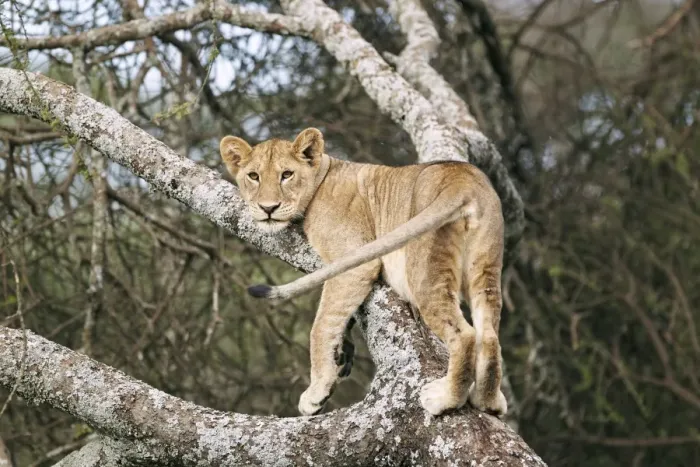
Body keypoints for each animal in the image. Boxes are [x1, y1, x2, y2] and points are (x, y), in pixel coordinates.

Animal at [220, 128, 507, 417]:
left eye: (286, 174)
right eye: (253, 176)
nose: (268, 208)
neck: (322, 177)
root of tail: (462, 181)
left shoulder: (354, 261)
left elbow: (322, 324)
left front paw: (317, 392)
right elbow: (340, 317)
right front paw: (341, 357)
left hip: (425, 271)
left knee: (465, 335)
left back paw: (446, 399)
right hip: (486, 267)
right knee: (489, 336)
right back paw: (488, 401)